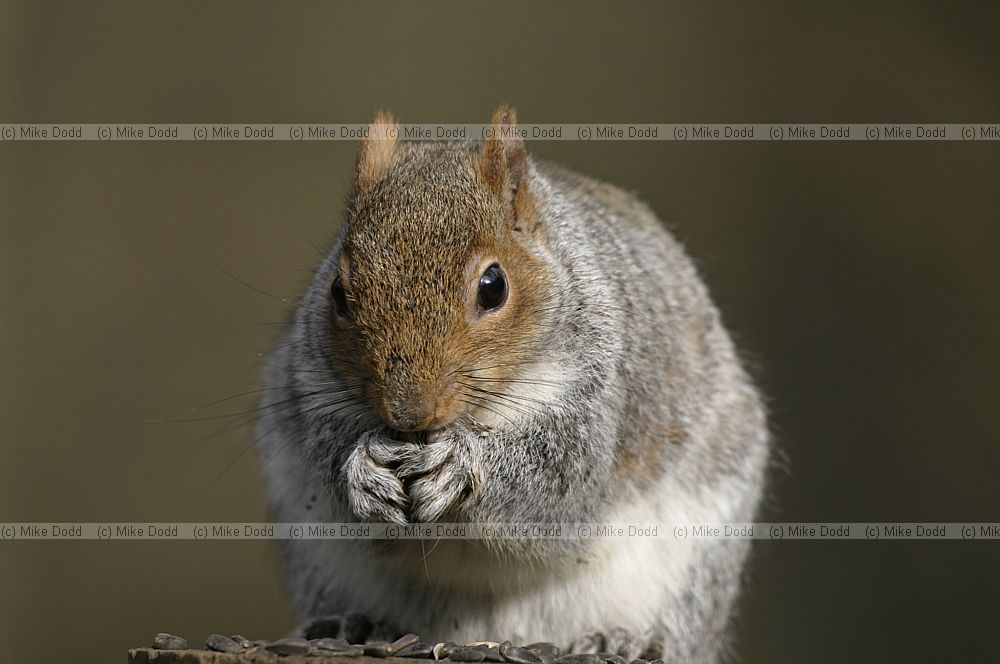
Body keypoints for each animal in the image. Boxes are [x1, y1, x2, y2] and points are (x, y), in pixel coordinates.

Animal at [256, 104, 770, 663]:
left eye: (493, 286)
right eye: (338, 293)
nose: (409, 411)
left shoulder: (603, 391)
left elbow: (559, 483)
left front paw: (460, 464)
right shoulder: (310, 389)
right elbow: (327, 456)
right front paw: (363, 469)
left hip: (697, 556)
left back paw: (625, 640)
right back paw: (355, 625)